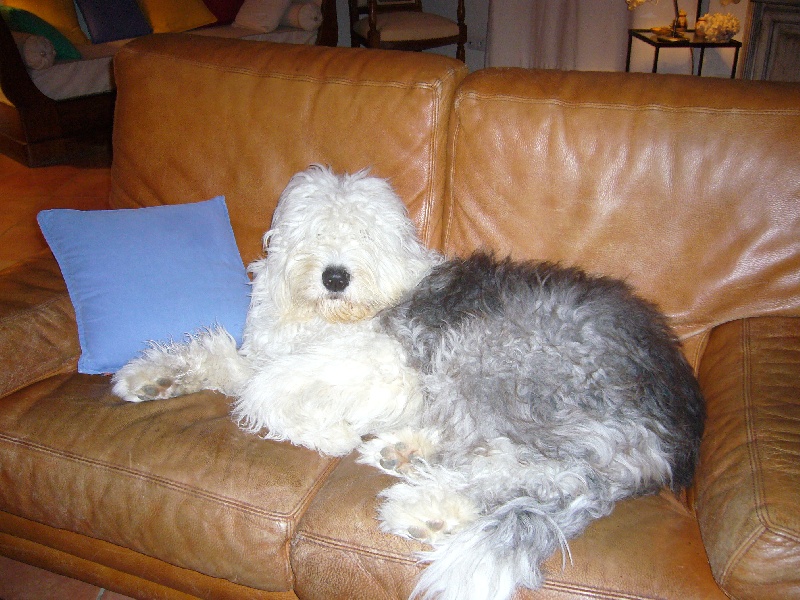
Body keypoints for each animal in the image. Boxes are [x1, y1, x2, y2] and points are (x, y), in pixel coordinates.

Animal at [113, 165, 705, 600]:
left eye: (365, 234)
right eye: (315, 232)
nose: (335, 276)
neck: (339, 315)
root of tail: (673, 434)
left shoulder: (381, 363)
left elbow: (264, 388)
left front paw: (331, 434)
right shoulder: (273, 352)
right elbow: (230, 363)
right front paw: (154, 377)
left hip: (500, 362)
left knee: (560, 477)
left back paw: (425, 506)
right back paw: (407, 458)